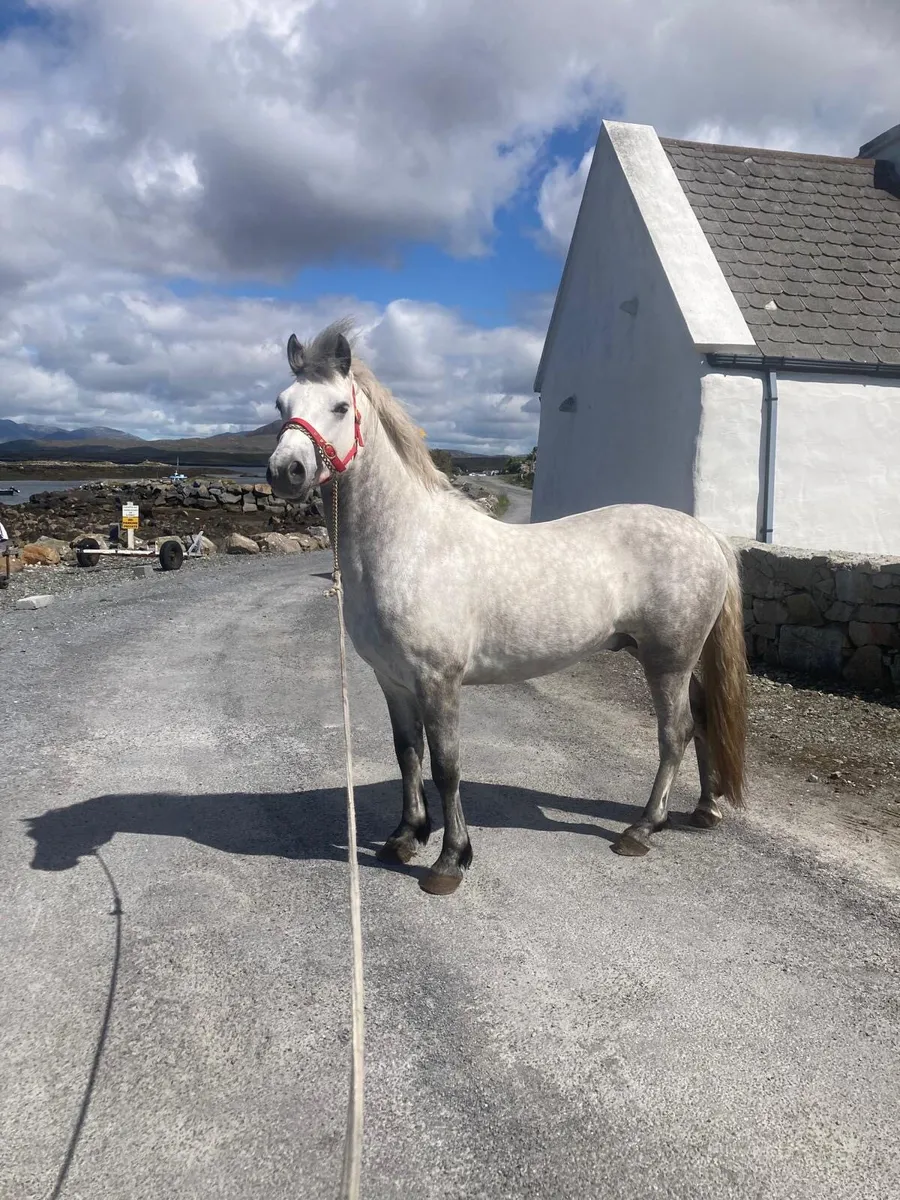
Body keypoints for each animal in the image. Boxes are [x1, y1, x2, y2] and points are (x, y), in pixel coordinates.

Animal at [267, 320, 748, 896]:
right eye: (280, 403)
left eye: (340, 406)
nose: (285, 471)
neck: (409, 544)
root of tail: (706, 535)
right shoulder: (394, 681)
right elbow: (408, 755)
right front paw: (405, 837)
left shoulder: (438, 681)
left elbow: (446, 766)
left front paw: (450, 859)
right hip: (676, 657)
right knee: (702, 717)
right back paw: (703, 809)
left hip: (667, 661)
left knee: (675, 732)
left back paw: (643, 828)